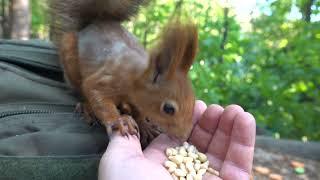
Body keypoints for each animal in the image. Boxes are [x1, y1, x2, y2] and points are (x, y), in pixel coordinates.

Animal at [49, 0, 198, 142]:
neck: (135, 76)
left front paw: (144, 125)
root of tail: (93, 23)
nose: (183, 136)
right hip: (70, 59)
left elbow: (138, 112)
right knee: (80, 90)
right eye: (168, 109)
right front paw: (118, 120)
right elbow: (95, 92)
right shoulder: (107, 79)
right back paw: (87, 107)